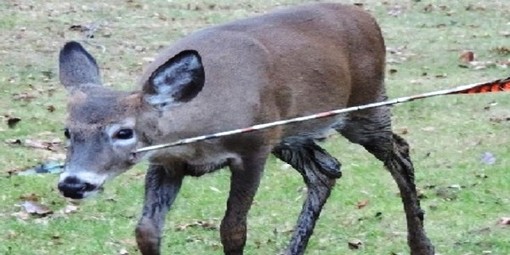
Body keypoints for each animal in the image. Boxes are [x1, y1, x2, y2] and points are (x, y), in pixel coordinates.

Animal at [56, 2, 434, 255]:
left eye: (124, 132)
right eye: (67, 131)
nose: (73, 183)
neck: (196, 136)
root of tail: (367, 17)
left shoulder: (254, 147)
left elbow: (233, 229)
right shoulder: (166, 161)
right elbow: (146, 230)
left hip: (364, 105)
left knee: (400, 153)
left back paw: (421, 245)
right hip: (291, 133)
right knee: (327, 169)